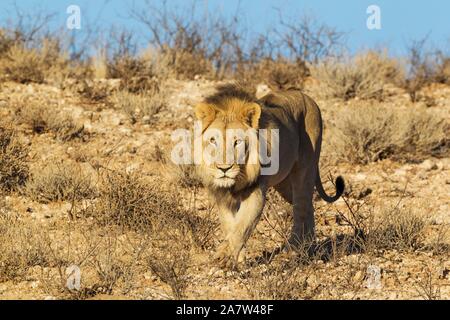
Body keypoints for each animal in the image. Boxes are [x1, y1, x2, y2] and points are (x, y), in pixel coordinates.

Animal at [193, 83, 344, 268]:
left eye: (237, 142)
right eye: (213, 141)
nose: (224, 168)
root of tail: (308, 98)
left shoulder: (256, 192)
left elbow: (242, 225)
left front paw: (223, 256)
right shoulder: (222, 197)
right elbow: (230, 225)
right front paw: (238, 258)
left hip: (304, 170)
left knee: (301, 207)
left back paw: (296, 248)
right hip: (283, 184)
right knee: (309, 206)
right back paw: (309, 245)